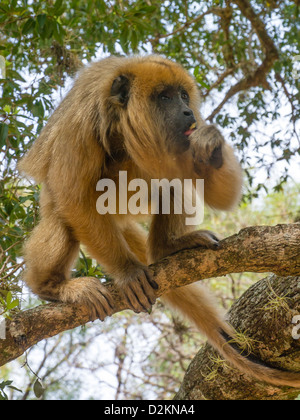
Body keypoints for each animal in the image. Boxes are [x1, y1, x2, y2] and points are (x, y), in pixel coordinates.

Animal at [18, 55, 300, 388]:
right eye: (164, 97)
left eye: (183, 96)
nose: (189, 112)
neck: (121, 122)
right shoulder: (80, 123)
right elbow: (73, 198)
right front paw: (127, 272)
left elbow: (220, 195)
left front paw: (212, 144)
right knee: (64, 214)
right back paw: (50, 286)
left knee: (170, 179)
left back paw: (167, 247)